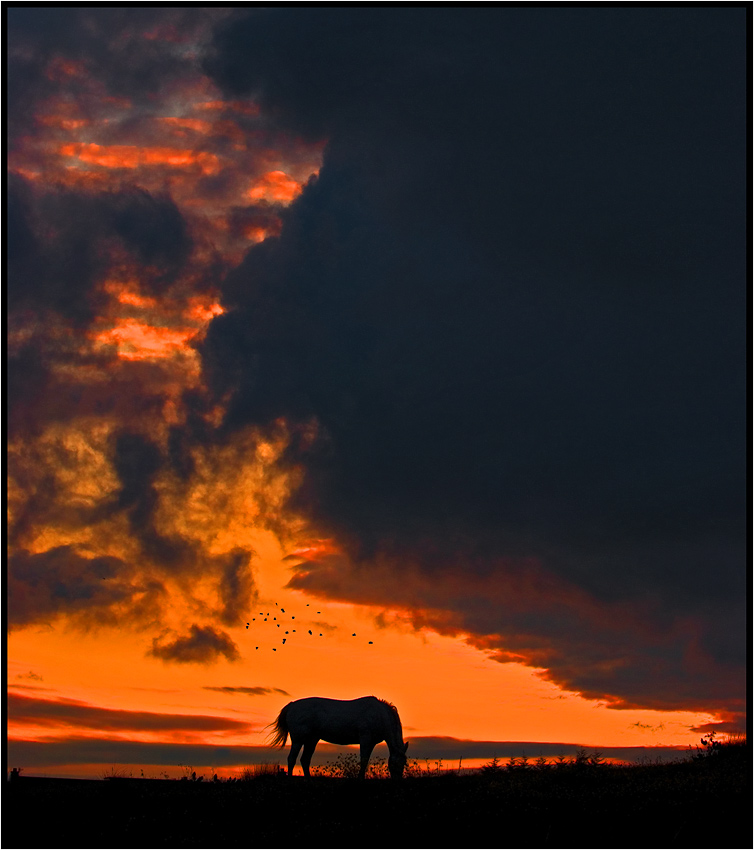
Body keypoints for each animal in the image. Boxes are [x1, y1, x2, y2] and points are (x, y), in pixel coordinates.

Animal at [268, 692, 408, 780]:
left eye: (404, 763)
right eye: (395, 764)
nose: (397, 781)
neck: (379, 714)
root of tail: (292, 705)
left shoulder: (371, 743)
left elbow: (365, 760)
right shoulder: (365, 739)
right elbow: (363, 760)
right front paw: (360, 779)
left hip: (311, 740)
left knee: (305, 760)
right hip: (298, 740)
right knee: (292, 759)